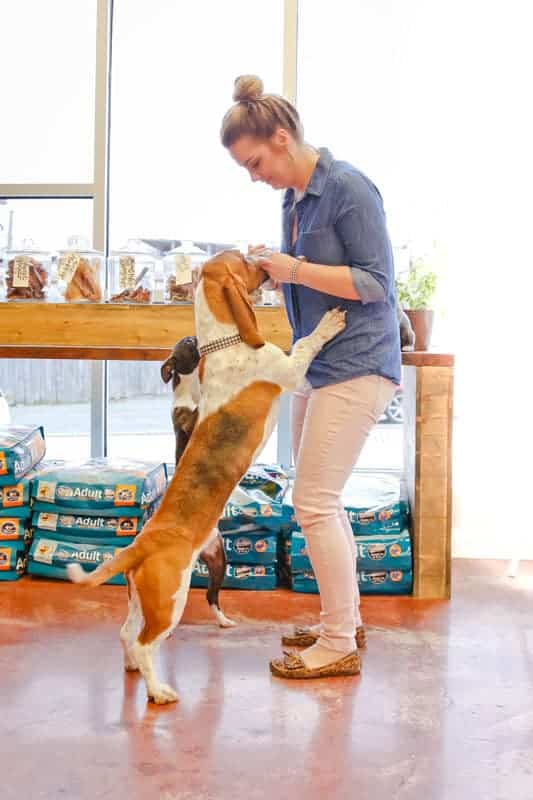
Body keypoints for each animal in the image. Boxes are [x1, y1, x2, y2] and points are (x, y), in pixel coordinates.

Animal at [67, 252, 344, 708]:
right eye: (244, 260)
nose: (264, 258)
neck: (226, 342)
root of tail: (142, 544)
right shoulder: (289, 368)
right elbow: (305, 344)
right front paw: (329, 323)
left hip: (146, 598)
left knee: (127, 634)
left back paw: (135, 670)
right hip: (170, 599)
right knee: (145, 642)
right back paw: (159, 691)